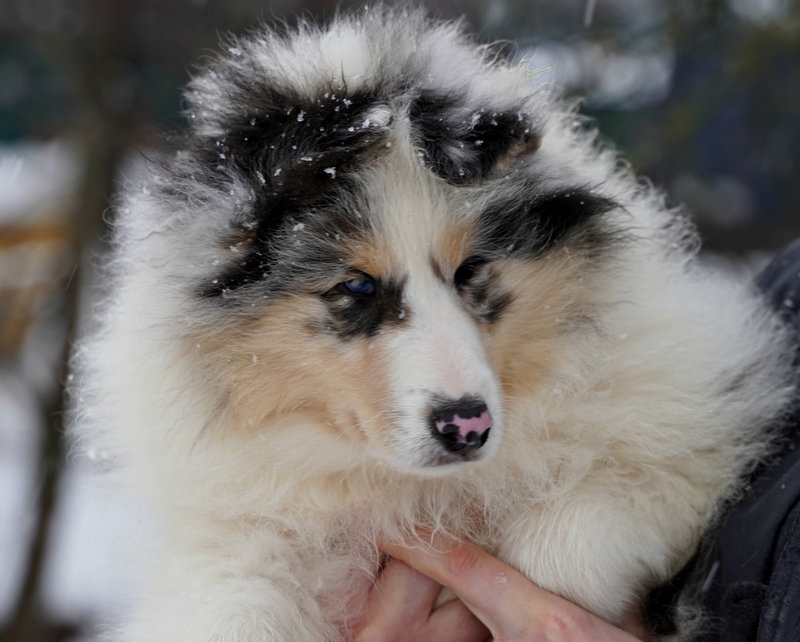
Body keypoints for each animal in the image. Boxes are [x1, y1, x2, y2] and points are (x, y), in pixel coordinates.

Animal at [75, 6, 792, 640]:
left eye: (471, 266)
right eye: (356, 286)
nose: (466, 426)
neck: (409, 487)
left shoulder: (695, 445)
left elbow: (560, 552)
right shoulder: (232, 546)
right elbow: (235, 610)